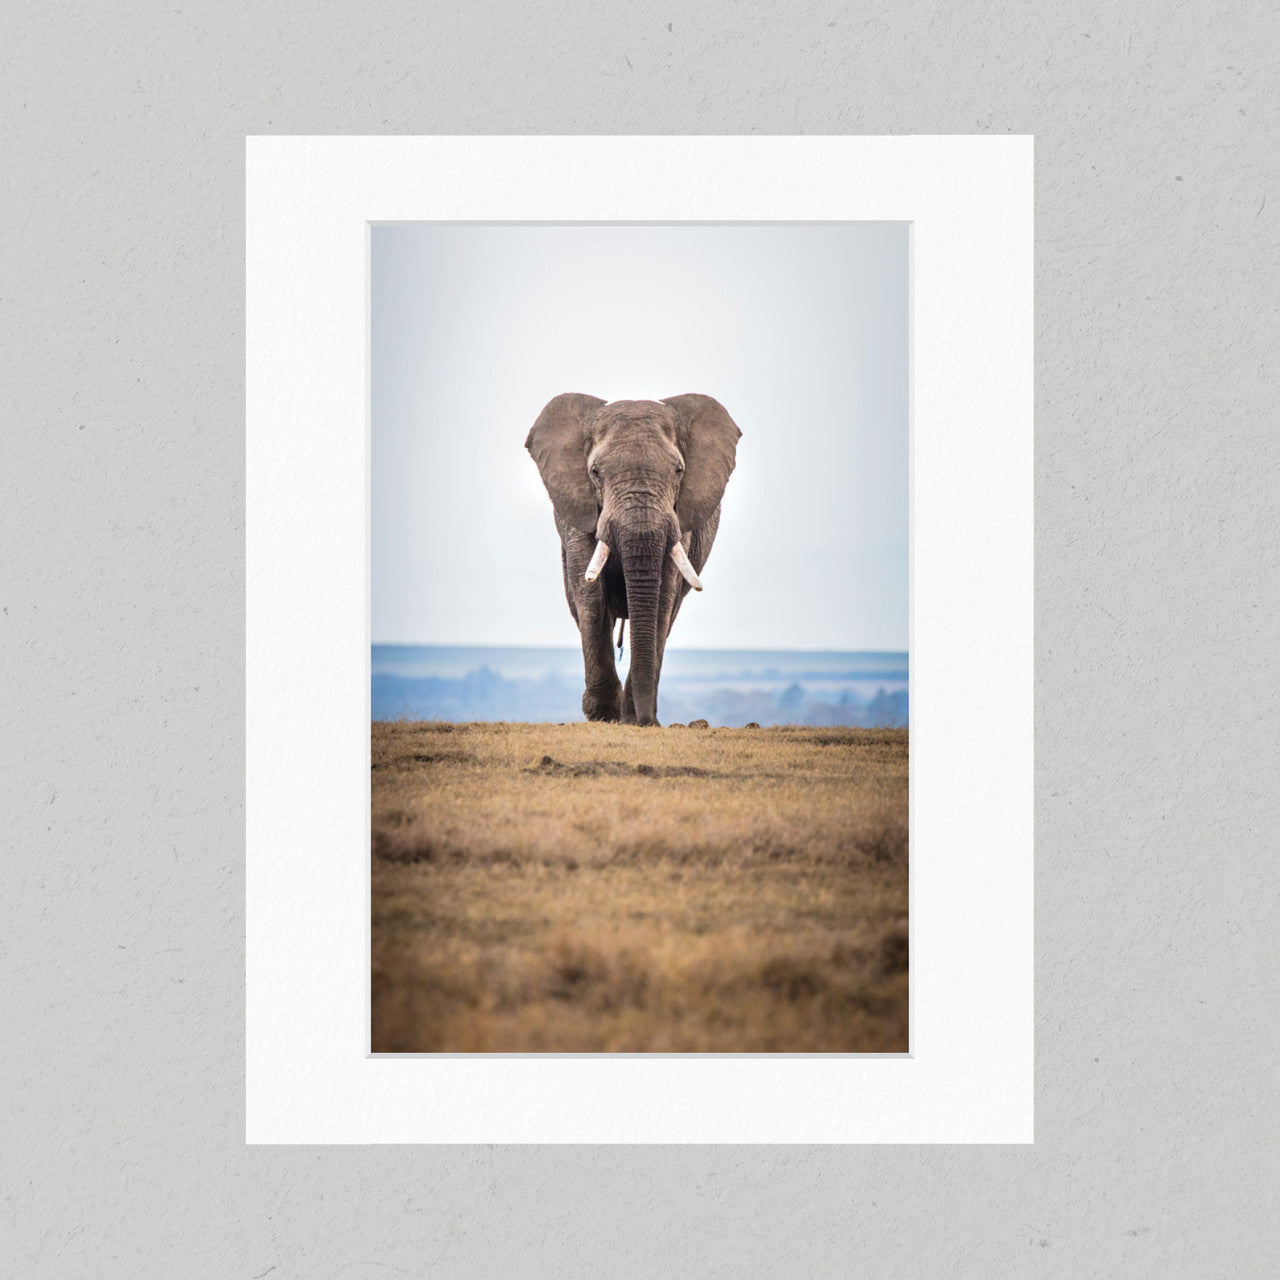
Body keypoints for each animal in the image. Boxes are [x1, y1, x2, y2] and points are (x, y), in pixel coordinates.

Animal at [526, 393, 741, 727]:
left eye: (678, 471)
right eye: (595, 472)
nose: (647, 721)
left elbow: (663, 597)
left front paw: (629, 717)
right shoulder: (578, 512)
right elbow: (590, 594)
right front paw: (603, 716)